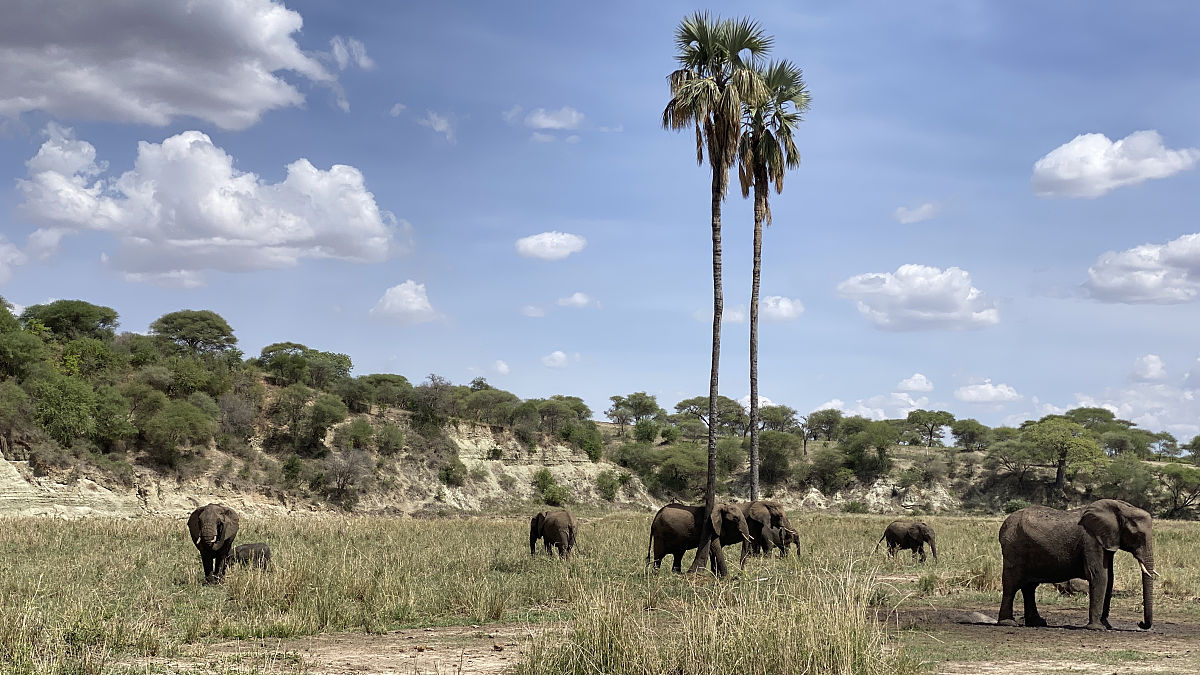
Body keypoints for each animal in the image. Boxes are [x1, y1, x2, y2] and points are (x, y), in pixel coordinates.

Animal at [997, 499, 1155, 630]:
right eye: (1137, 535)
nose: (1140, 623)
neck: (1121, 508)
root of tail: (1003, 525)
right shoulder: (1091, 540)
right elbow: (1099, 576)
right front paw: (1097, 628)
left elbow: (1109, 579)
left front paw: (1106, 625)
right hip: (1013, 548)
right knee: (1011, 584)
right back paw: (1008, 623)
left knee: (1029, 587)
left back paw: (1038, 623)